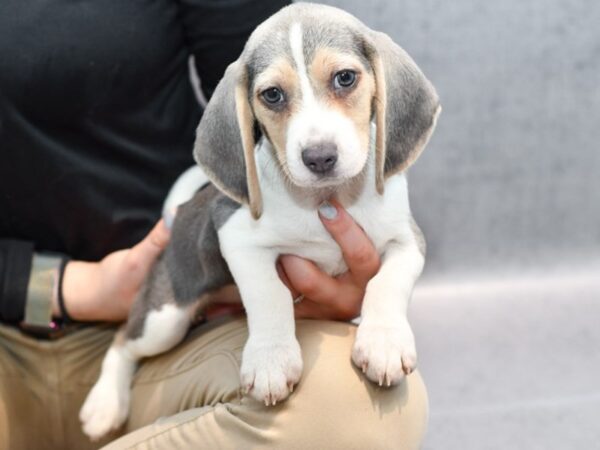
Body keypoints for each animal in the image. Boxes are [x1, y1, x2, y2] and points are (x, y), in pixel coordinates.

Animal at [79, 2, 440, 440]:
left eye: (345, 78)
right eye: (272, 94)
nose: (319, 157)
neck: (324, 200)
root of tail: (178, 214)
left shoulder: (409, 241)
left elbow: (387, 282)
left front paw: (384, 342)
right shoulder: (237, 237)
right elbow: (269, 293)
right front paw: (271, 358)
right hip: (164, 317)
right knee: (121, 340)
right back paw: (104, 403)